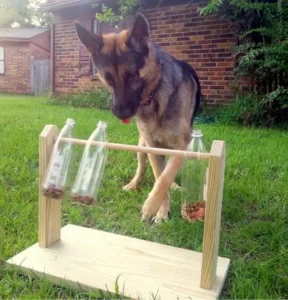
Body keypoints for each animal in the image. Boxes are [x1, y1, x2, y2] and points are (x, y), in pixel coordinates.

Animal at [75, 12, 200, 223]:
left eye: (132, 76)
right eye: (108, 79)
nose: (121, 114)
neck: (155, 96)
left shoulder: (181, 146)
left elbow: (165, 177)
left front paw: (151, 206)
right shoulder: (153, 149)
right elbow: (159, 177)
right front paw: (161, 210)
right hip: (142, 148)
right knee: (142, 169)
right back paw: (133, 184)